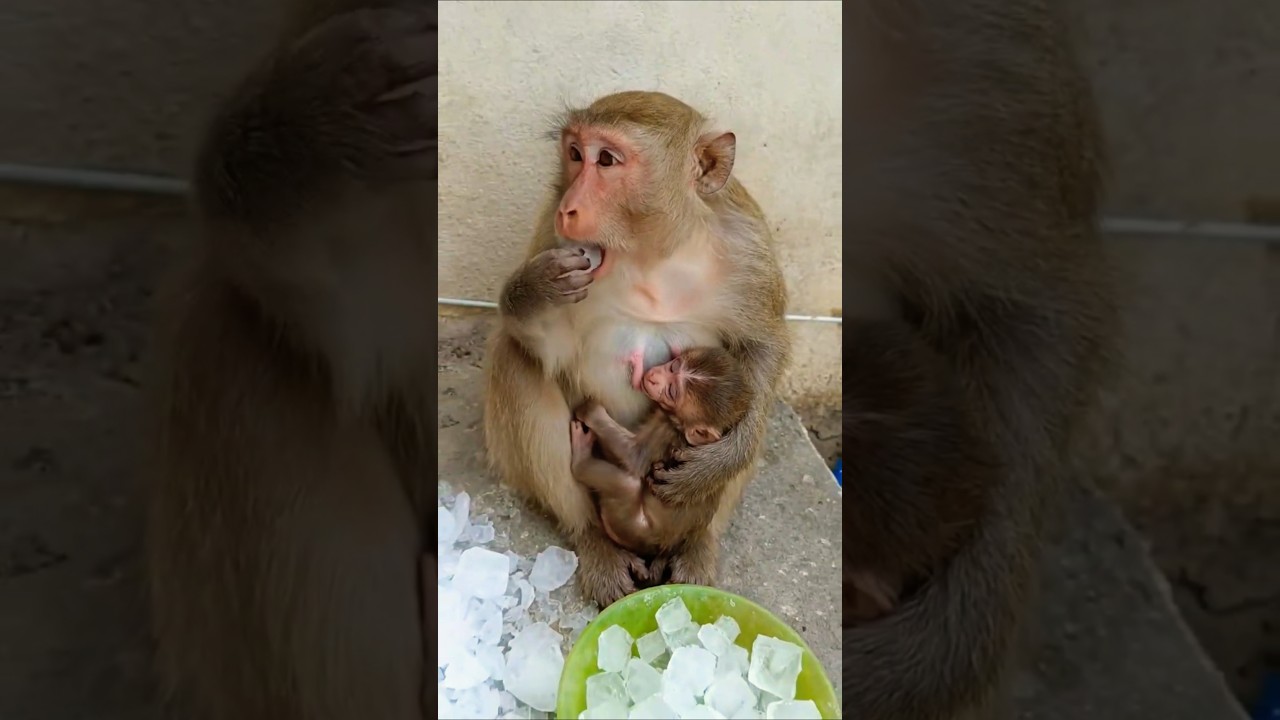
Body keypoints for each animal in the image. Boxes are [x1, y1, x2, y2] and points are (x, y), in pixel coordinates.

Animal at [570, 347, 753, 560]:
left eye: (672, 391)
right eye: (674, 366)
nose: (654, 377)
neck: (680, 426)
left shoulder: (666, 428)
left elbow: (635, 456)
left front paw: (591, 412)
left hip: (628, 526)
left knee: (627, 485)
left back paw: (581, 459)